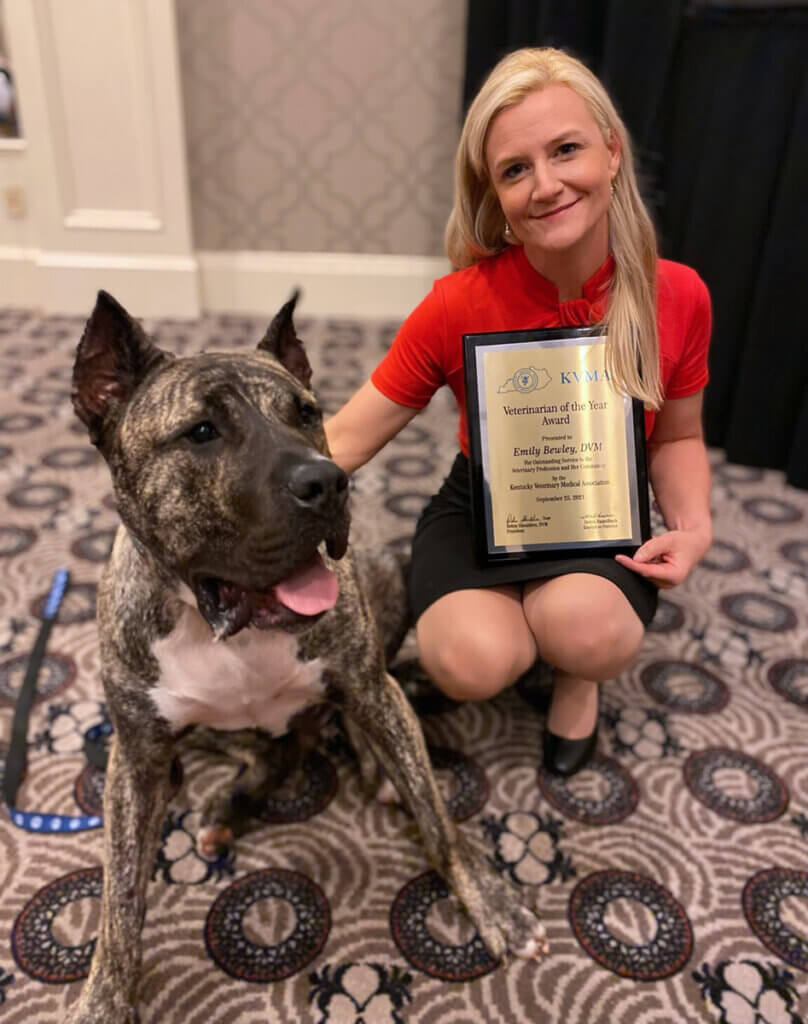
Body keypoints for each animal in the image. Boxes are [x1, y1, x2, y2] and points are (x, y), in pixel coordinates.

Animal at [64, 290, 548, 1024]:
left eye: (308, 413)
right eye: (201, 432)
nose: (329, 481)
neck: (221, 624)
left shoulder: (369, 685)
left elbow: (439, 818)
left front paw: (493, 905)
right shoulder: (137, 756)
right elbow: (119, 898)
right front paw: (103, 998)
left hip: (385, 590)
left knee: (309, 743)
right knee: (271, 753)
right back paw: (224, 808)